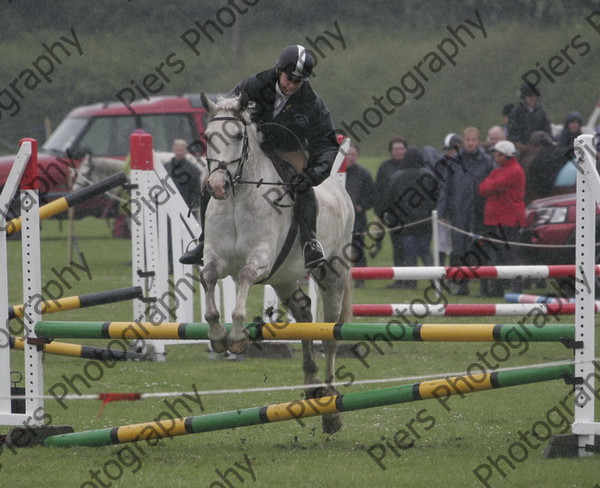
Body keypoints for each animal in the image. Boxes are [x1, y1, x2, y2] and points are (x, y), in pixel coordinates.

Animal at [199, 92, 354, 434]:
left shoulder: (261, 260)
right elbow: (208, 277)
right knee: (305, 314)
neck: (237, 199)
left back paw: (331, 408)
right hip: (284, 279)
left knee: (330, 333)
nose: (216, 186)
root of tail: (341, 191)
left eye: (237, 136)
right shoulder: (215, 258)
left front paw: (238, 337)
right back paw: (312, 385)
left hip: (331, 274)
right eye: (207, 136)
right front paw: (217, 336)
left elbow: (244, 276)